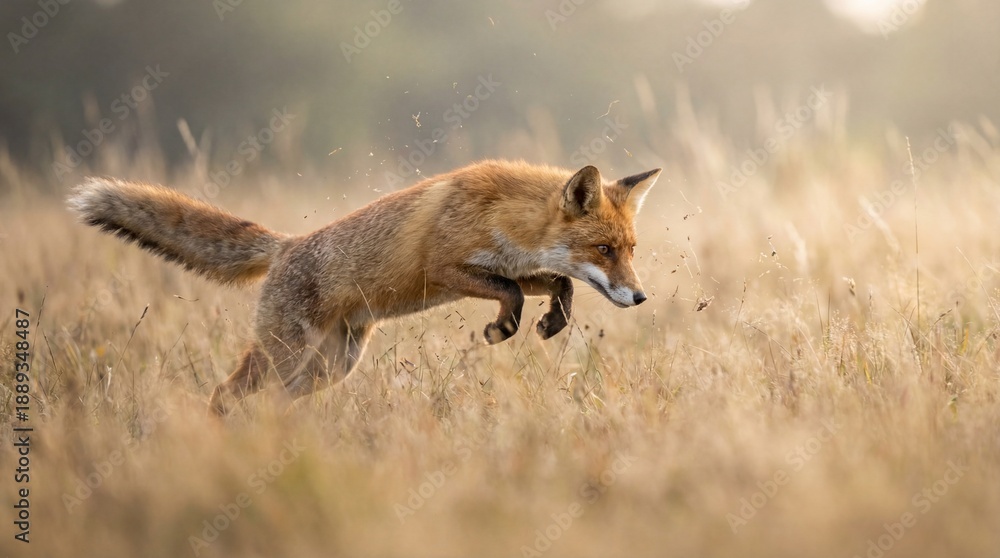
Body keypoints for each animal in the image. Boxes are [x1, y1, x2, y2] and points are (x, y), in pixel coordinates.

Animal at [68, 160, 660, 416]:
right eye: (603, 250)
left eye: (630, 249)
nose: (640, 298)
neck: (503, 215)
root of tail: (286, 245)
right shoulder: (447, 268)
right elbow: (512, 295)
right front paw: (501, 330)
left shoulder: (517, 267)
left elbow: (558, 284)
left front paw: (552, 321)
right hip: (285, 354)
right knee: (224, 393)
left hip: (329, 368)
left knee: (273, 402)